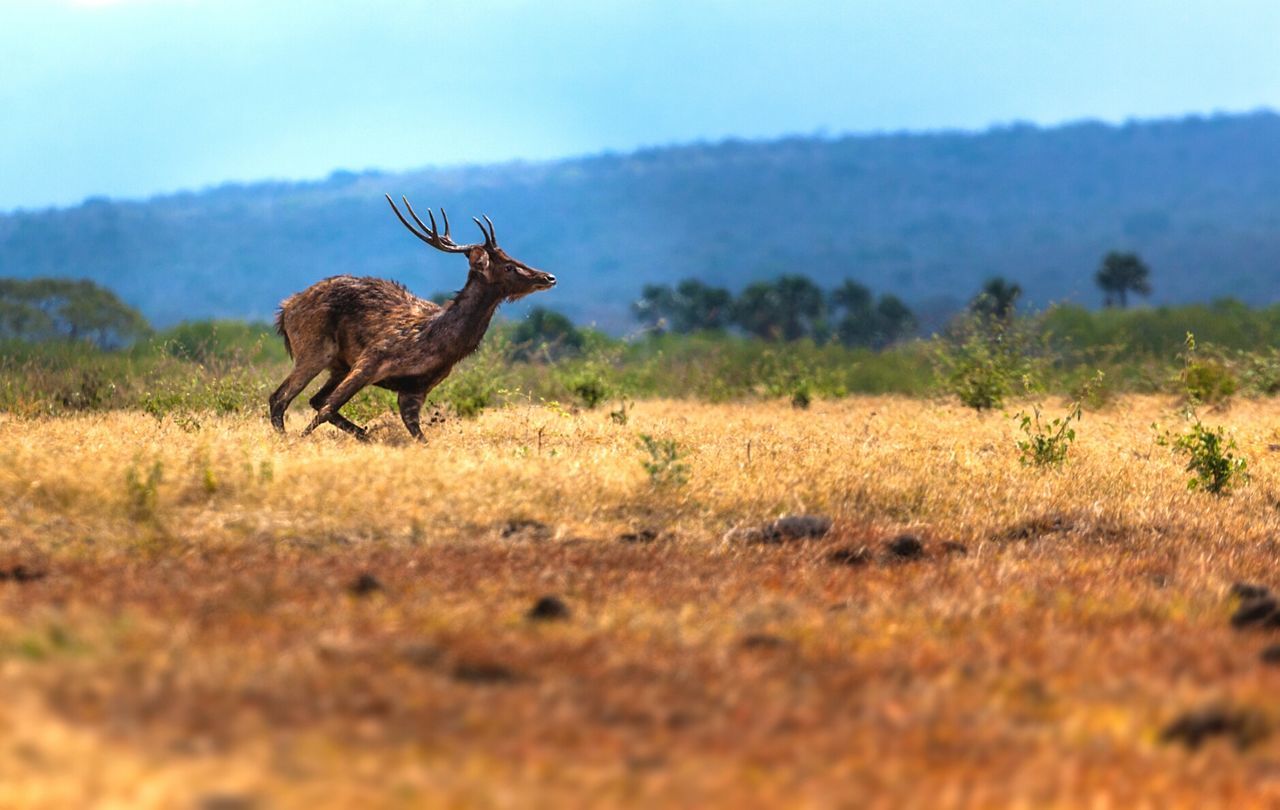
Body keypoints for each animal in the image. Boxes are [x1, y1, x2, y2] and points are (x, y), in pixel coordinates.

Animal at [267, 197, 552, 442]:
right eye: (509, 266)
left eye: (514, 258)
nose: (548, 277)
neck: (439, 345)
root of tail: (285, 311)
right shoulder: (370, 359)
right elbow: (327, 409)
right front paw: (301, 441)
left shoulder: (416, 388)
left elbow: (419, 436)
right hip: (314, 349)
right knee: (280, 398)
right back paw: (289, 438)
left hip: (339, 365)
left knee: (312, 399)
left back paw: (364, 436)